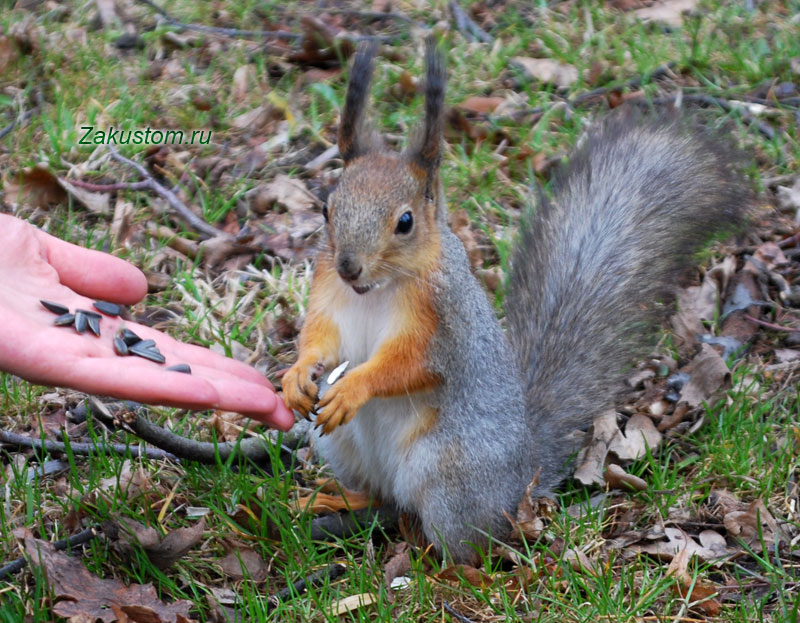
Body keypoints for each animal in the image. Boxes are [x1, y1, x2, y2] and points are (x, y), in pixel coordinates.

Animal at [282, 39, 752, 564]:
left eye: (405, 222)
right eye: (327, 208)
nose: (349, 266)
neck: (374, 291)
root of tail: (520, 481)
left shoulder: (443, 323)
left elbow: (408, 365)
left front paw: (354, 387)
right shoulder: (328, 293)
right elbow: (320, 338)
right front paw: (296, 376)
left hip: (450, 478)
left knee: (468, 541)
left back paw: (446, 568)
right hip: (343, 446)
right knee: (379, 494)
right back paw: (338, 498)